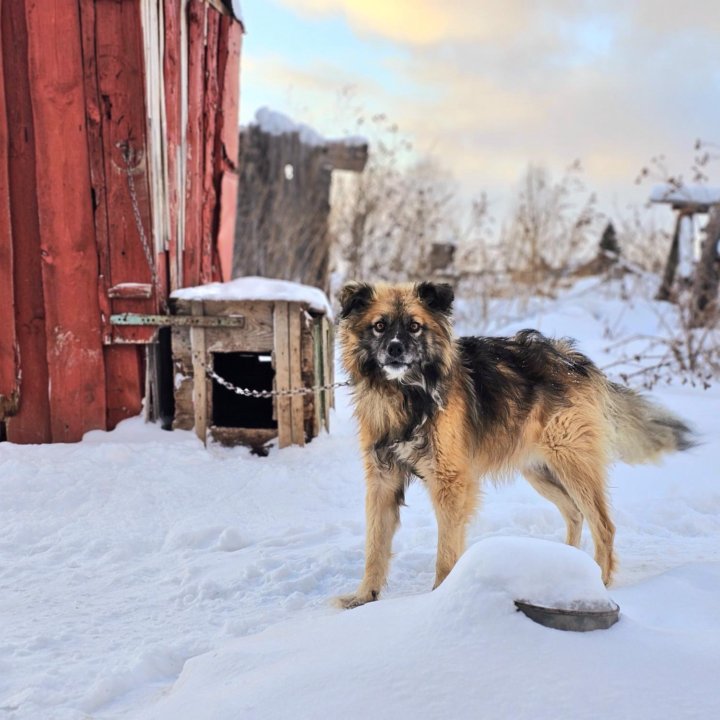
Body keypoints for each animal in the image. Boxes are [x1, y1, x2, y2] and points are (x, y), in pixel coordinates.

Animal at [334, 282, 696, 608]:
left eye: (414, 326)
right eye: (380, 326)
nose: (395, 349)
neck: (406, 395)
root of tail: (574, 360)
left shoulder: (450, 483)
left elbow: (446, 553)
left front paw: (439, 597)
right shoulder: (382, 480)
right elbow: (375, 546)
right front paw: (364, 596)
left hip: (573, 464)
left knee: (604, 524)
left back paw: (601, 580)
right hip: (541, 471)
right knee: (574, 514)